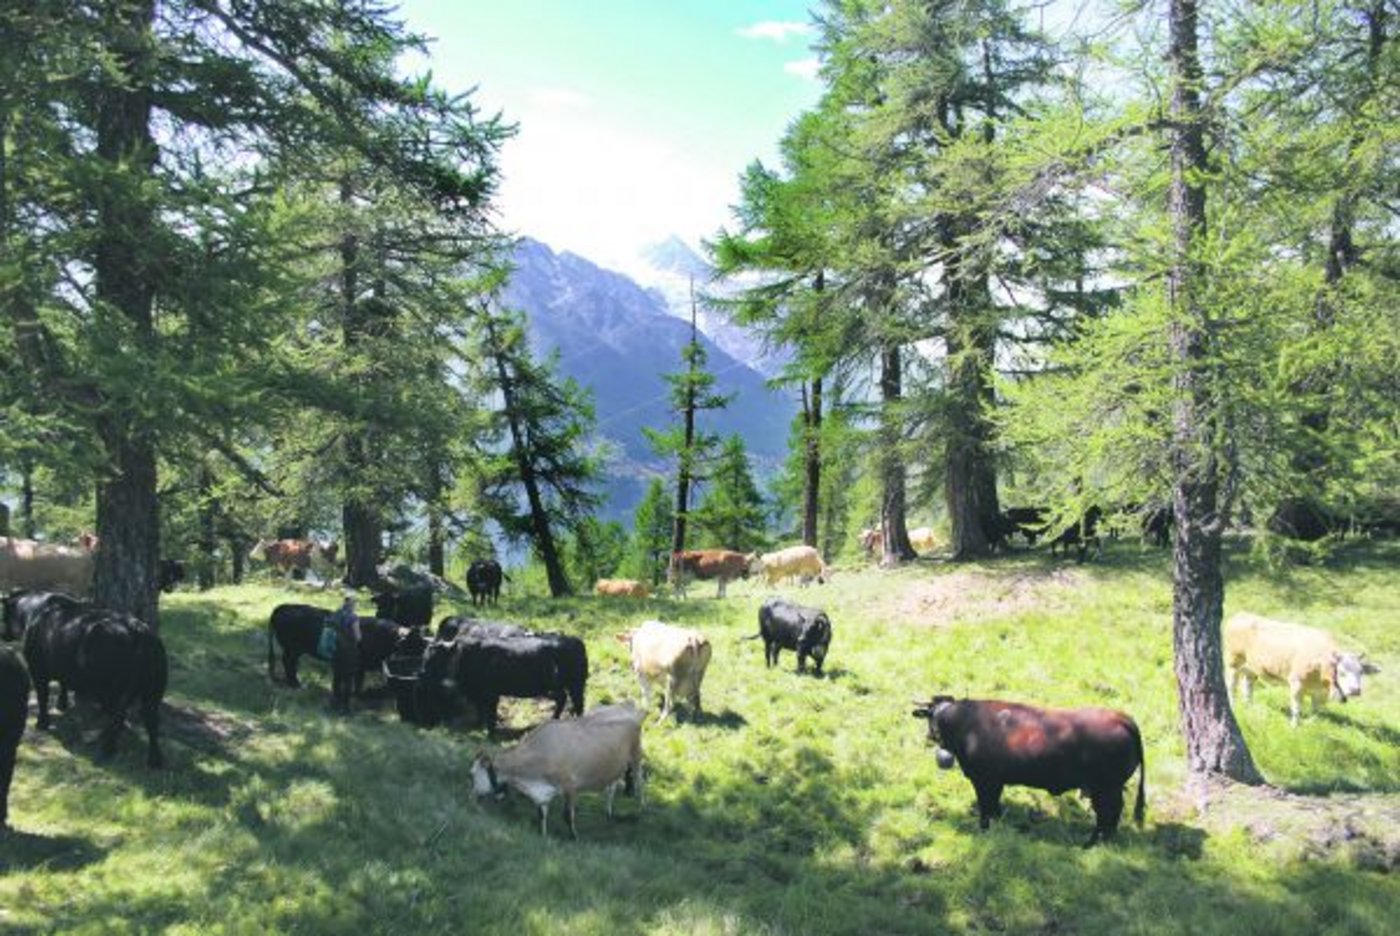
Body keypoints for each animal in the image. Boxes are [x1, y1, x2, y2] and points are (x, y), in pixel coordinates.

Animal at [23, 598, 167, 767]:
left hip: (117, 692)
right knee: (151, 720)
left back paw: (108, 748)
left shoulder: (37, 669)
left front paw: (42, 722)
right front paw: (61, 704)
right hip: (153, 691)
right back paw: (154, 759)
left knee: (119, 717)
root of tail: (139, 631)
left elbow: (42, 696)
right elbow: (62, 684)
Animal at [415, 628, 588, 734]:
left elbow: (490, 714)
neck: (466, 655)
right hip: (556, 688)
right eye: (424, 654)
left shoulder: (491, 694)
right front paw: (479, 727)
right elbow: (481, 711)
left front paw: (490, 733)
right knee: (562, 699)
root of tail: (576, 640)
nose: (421, 673)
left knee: (578, 704)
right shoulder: (478, 694)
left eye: (435, 657)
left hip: (576, 685)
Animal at [469, 702, 645, 838]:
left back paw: (641, 809)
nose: (472, 797)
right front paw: (543, 836)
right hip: (615, 765)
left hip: (635, 756)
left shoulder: (570, 786)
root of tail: (627, 704)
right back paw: (609, 813)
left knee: (638, 781)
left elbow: (567, 815)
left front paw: (574, 837)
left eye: (473, 775)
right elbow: (541, 815)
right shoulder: (542, 792)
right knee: (612, 787)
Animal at [911, 696, 1146, 847]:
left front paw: (984, 830)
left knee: (1108, 813)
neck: (965, 724)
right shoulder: (996, 781)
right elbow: (994, 806)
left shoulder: (983, 780)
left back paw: (1093, 843)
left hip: (1106, 788)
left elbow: (986, 807)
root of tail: (1122, 718)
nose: (929, 736)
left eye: (930, 716)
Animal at [1225, 612, 1377, 726]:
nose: (1355, 690)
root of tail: (1241, 615)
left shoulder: (1320, 692)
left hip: (1251, 667)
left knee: (1248, 685)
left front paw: (1314, 722)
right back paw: (1233, 705)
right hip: (1233, 661)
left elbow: (1317, 709)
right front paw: (1294, 726)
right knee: (1232, 685)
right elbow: (1297, 708)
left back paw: (1249, 706)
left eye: (1361, 672)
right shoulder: (1296, 683)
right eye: (1342, 672)